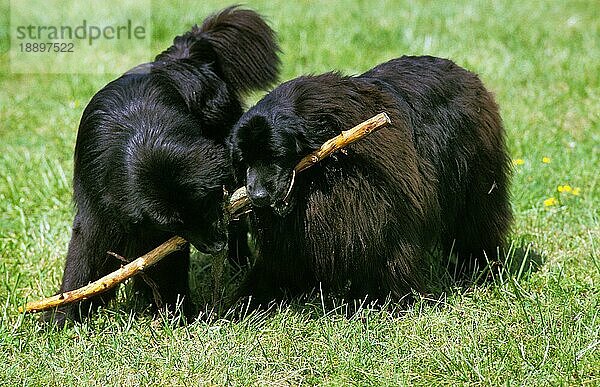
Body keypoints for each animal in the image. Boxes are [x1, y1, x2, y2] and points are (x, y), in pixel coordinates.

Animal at [45, 6, 280, 328]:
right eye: (175, 223)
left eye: (205, 204)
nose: (214, 246)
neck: (142, 136)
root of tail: (183, 56)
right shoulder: (101, 214)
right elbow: (85, 261)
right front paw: (63, 319)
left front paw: (178, 315)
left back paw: (238, 265)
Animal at [229, 56, 510, 304]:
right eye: (244, 161)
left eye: (276, 154)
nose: (258, 196)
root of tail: (464, 73)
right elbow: (277, 267)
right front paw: (245, 303)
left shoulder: (382, 211)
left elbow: (388, 254)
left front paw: (378, 302)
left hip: (477, 181)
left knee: (477, 223)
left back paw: (480, 269)